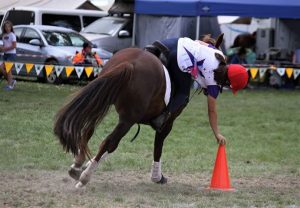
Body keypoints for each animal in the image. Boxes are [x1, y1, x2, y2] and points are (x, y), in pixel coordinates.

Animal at [53, 35, 223, 188]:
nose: (218, 89)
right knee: (110, 142)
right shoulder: (167, 124)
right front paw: (157, 177)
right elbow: (158, 147)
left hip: (102, 99)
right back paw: (85, 177)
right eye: (220, 64)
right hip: (128, 120)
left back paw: (77, 166)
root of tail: (130, 64)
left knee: (88, 130)